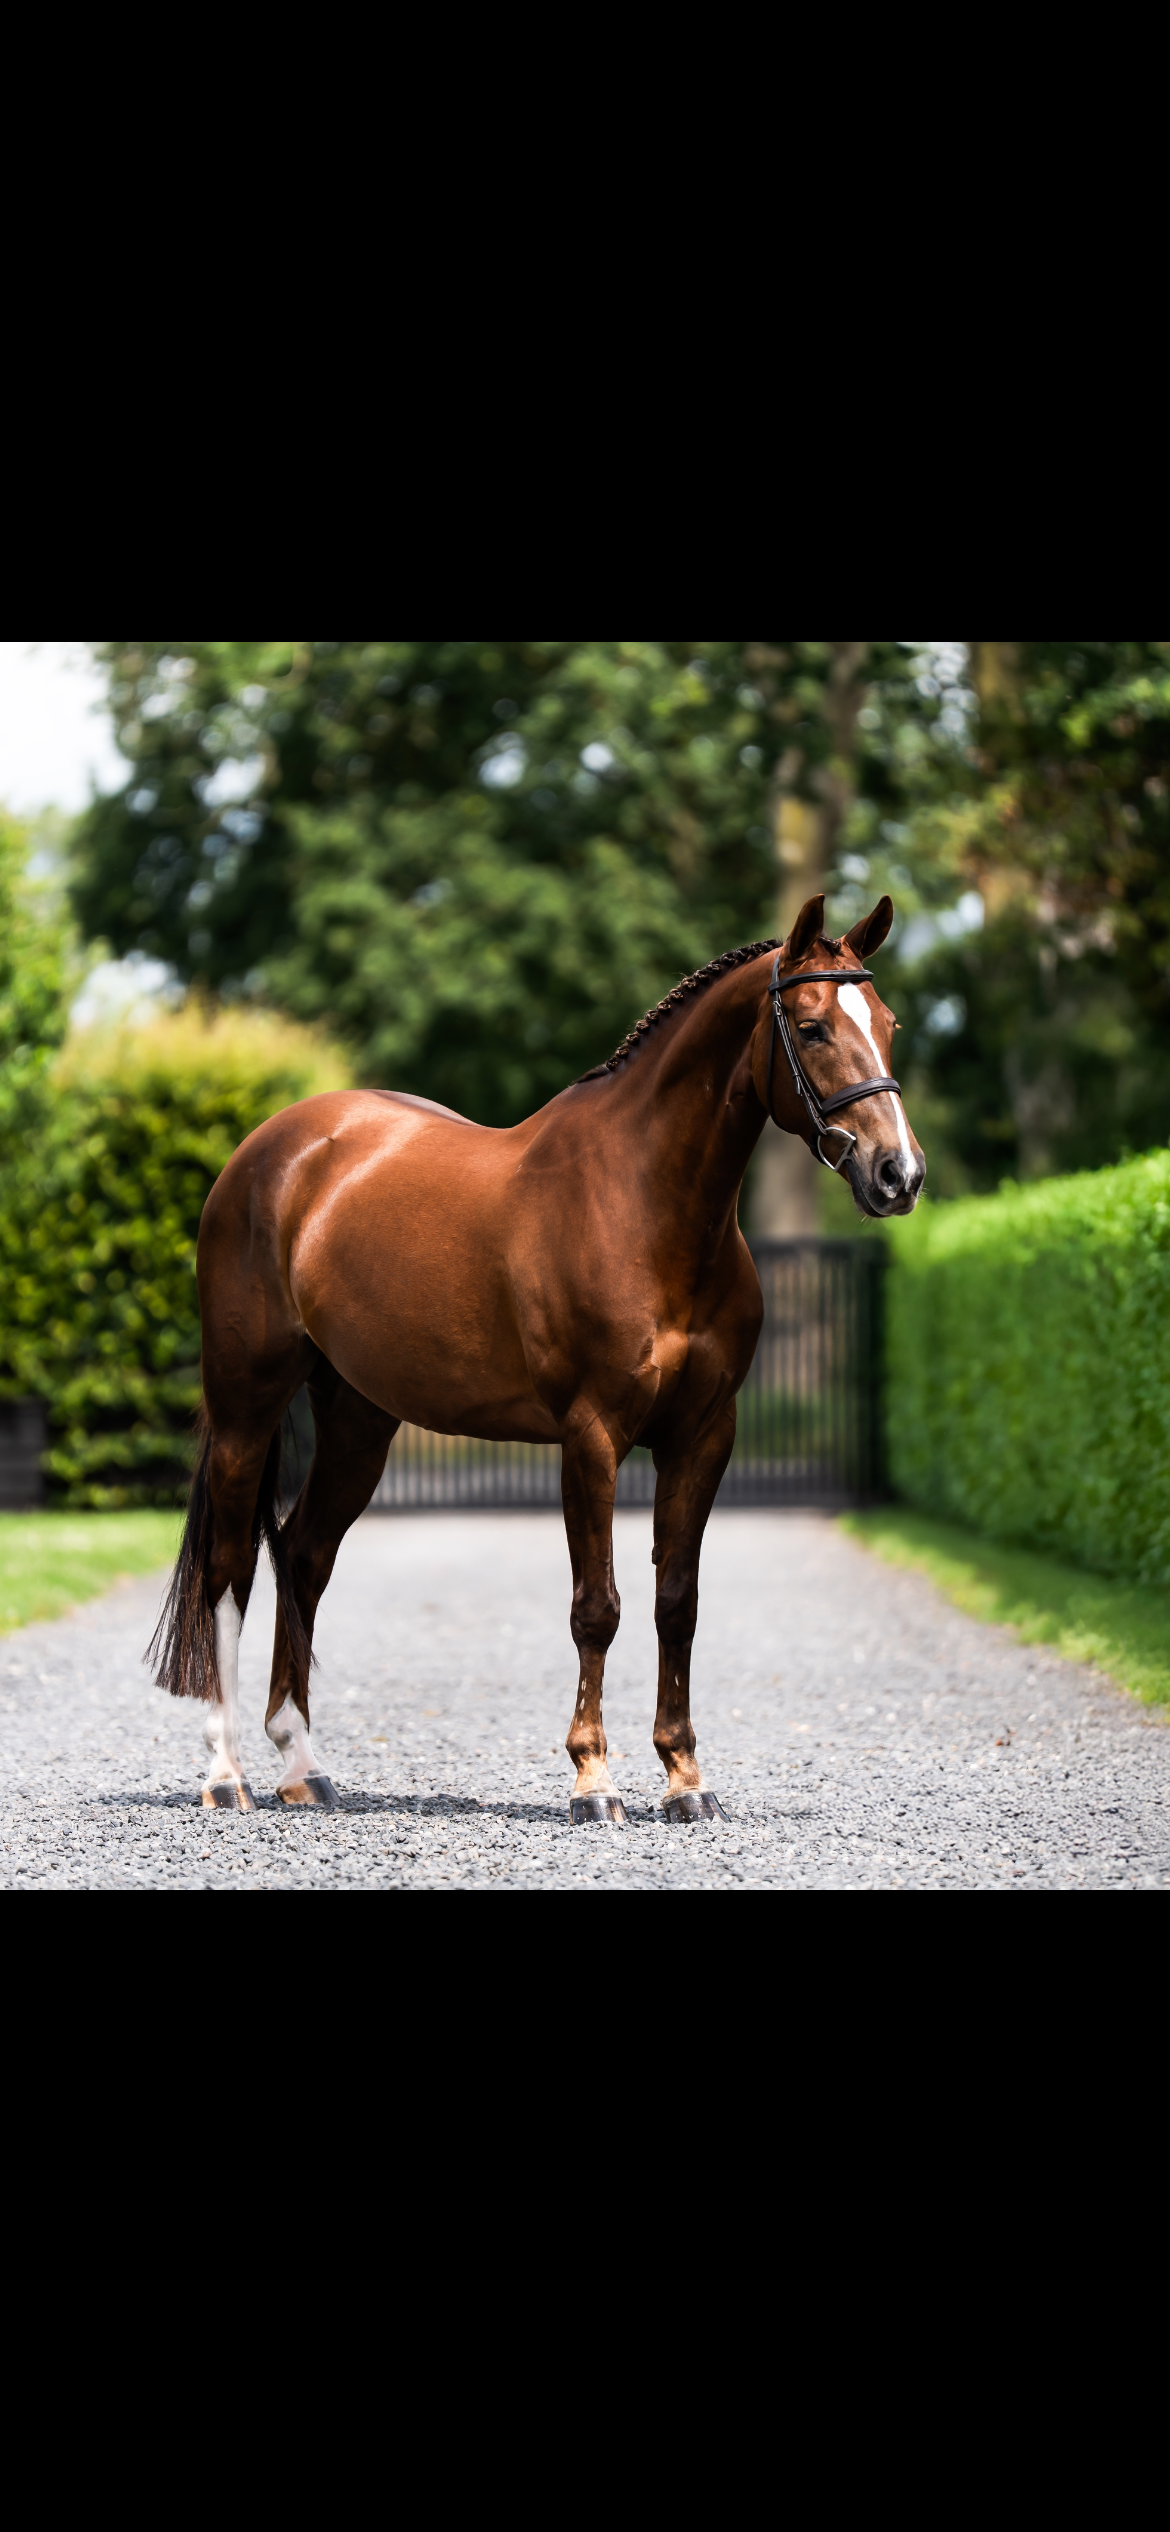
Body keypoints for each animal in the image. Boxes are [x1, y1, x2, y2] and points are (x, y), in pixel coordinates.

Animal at [149, 891, 924, 1821]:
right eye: (811, 1028)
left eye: (889, 1024)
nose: (898, 1174)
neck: (643, 1205)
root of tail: (267, 1154)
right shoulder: (591, 1436)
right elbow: (598, 1606)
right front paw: (594, 1779)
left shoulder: (705, 1435)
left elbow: (677, 1602)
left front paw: (684, 1779)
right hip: (246, 1407)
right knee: (228, 1572)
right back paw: (224, 1773)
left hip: (358, 1420)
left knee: (302, 1557)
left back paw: (302, 1765)